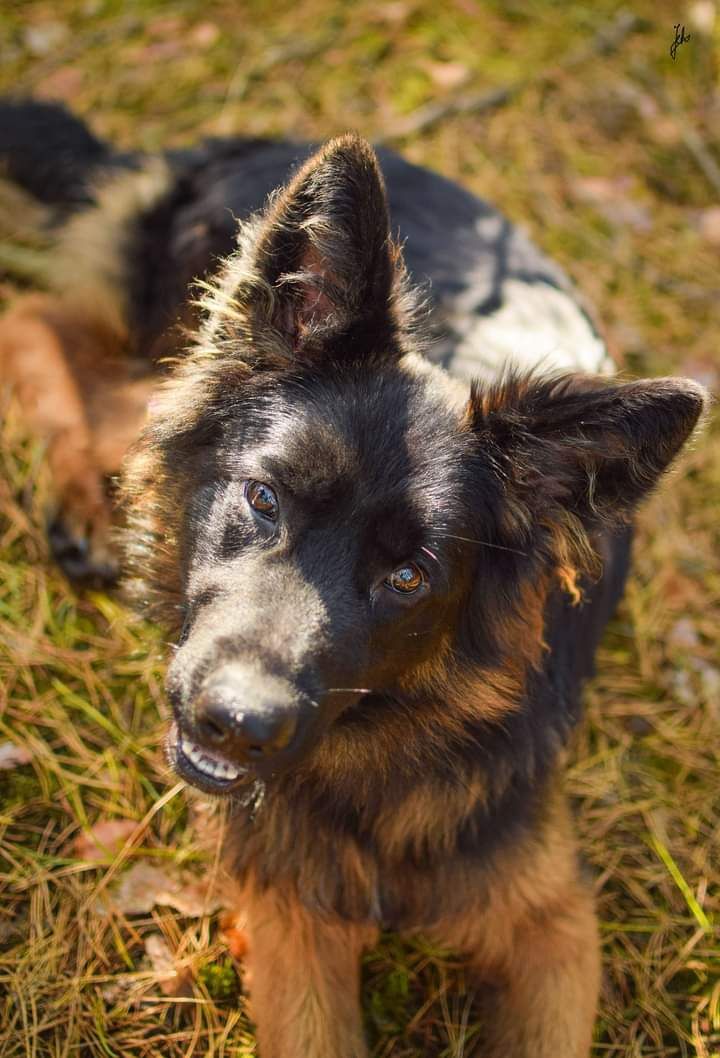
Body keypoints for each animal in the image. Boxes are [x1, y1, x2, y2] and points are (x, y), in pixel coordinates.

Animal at [0, 101, 706, 1058]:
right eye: (263, 498)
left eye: (408, 577)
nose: (236, 723)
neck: (380, 756)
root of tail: (235, 143)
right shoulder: (292, 926)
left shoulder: (553, 925)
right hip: (165, 368)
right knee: (38, 323)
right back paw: (78, 498)